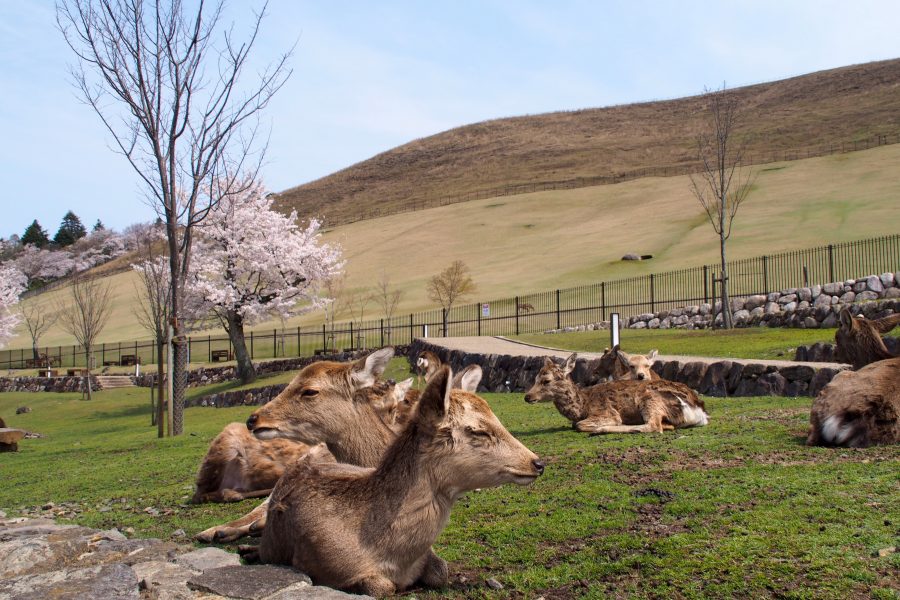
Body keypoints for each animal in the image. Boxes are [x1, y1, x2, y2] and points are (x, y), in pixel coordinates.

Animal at [524, 354, 708, 434]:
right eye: (535, 378)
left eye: (546, 380)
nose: (527, 396)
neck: (583, 406)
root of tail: (700, 412)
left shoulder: (606, 412)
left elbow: (579, 425)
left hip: (651, 398)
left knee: (654, 426)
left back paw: (603, 429)